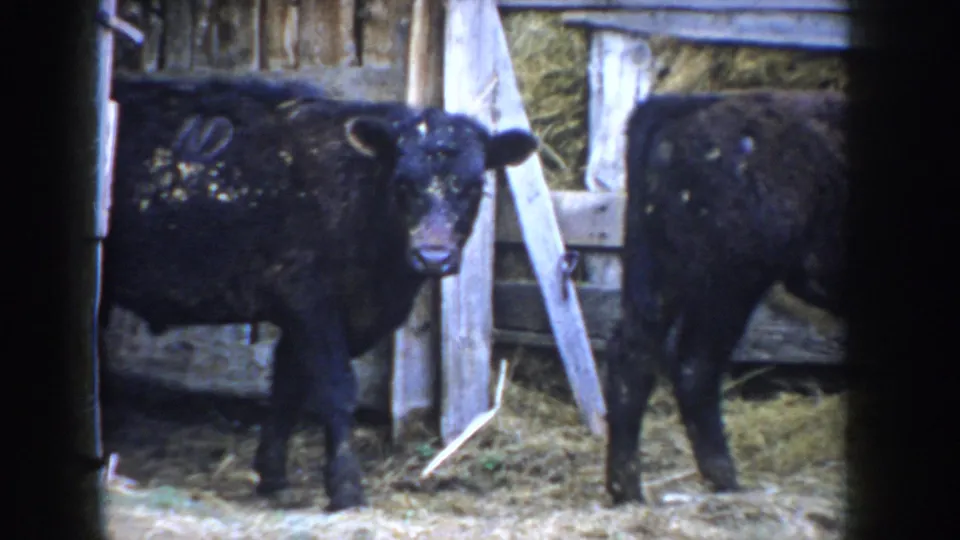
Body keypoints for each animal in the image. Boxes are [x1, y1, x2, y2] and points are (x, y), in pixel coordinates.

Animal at [102, 74, 539, 511]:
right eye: (402, 183)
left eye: (474, 186)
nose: (434, 256)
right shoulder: (310, 301)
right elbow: (336, 389)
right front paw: (346, 488)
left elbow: (288, 389)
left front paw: (273, 477)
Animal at [604, 90, 847, 504]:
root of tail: (687, 104)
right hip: (728, 284)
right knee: (694, 365)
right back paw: (723, 480)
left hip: (661, 279)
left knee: (635, 357)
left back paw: (630, 489)